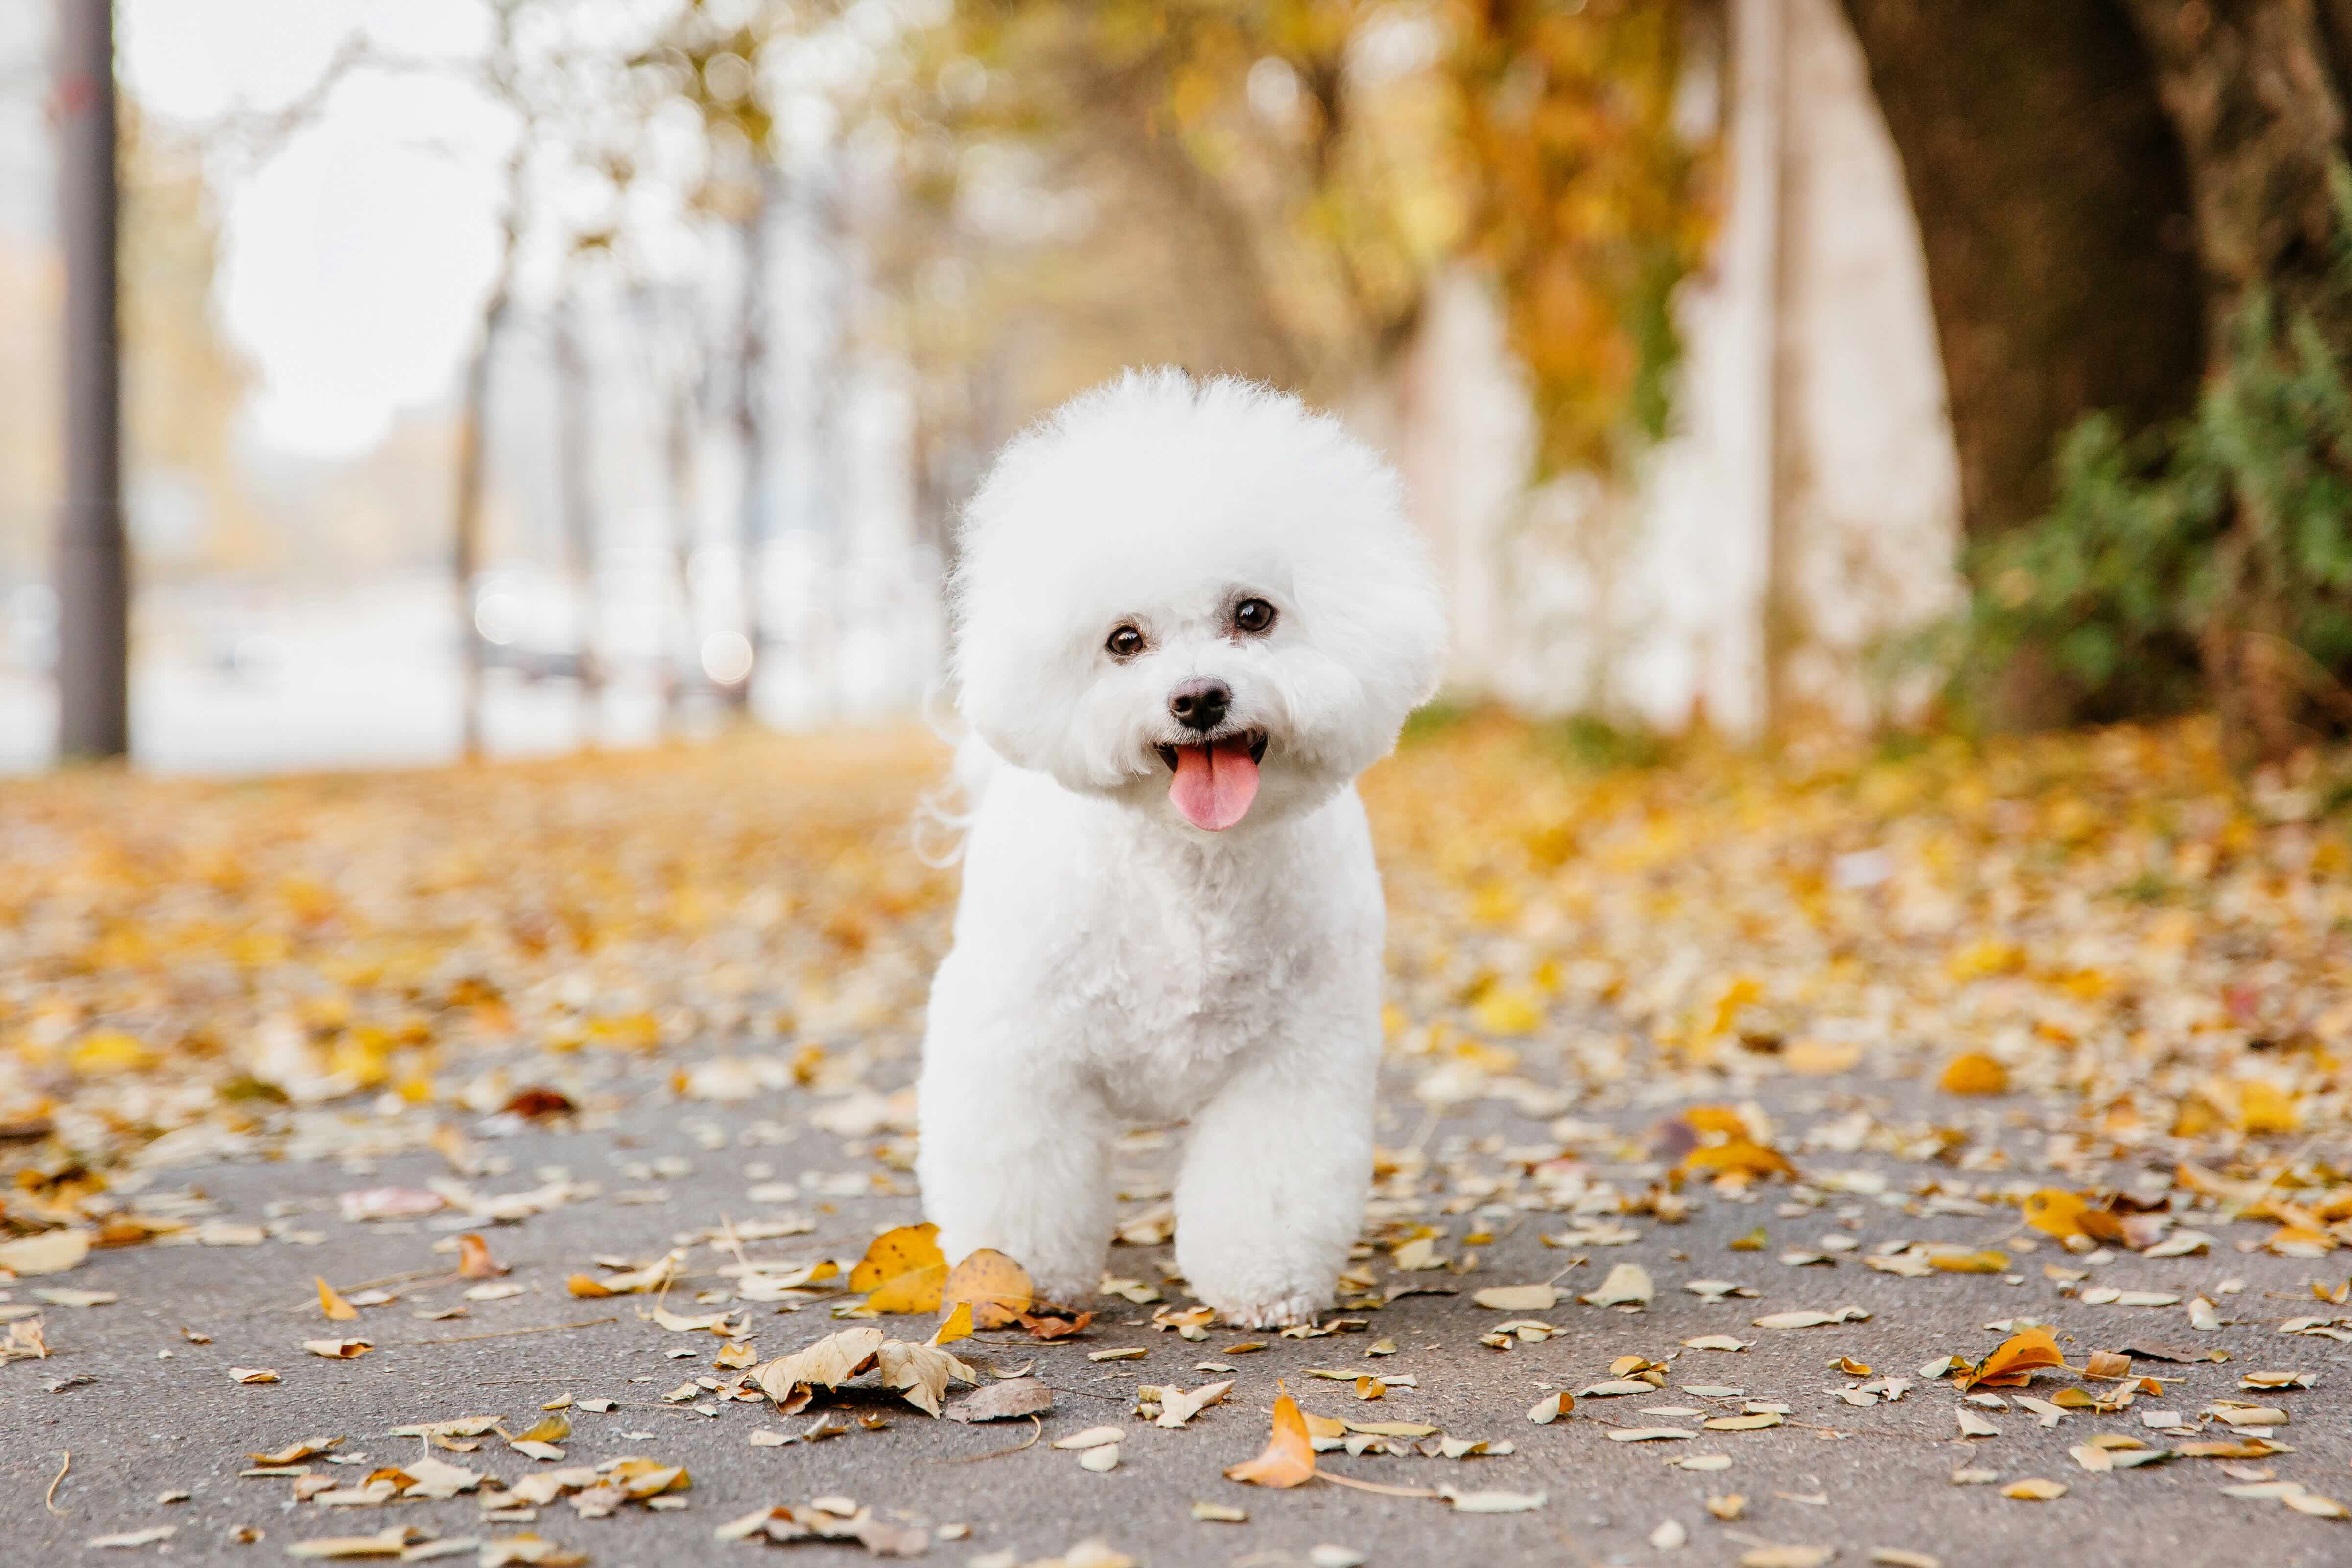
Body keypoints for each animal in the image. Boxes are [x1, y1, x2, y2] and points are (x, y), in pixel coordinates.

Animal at [922, 371, 1449, 1326]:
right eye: (1124, 640)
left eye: (1253, 613)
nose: (1198, 697)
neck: (1191, 870)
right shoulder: (1020, 1045)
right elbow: (1020, 1171)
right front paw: (1013, 1275)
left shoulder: (1294, 1055)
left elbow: (1268, 1182)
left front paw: (1262, 1282)